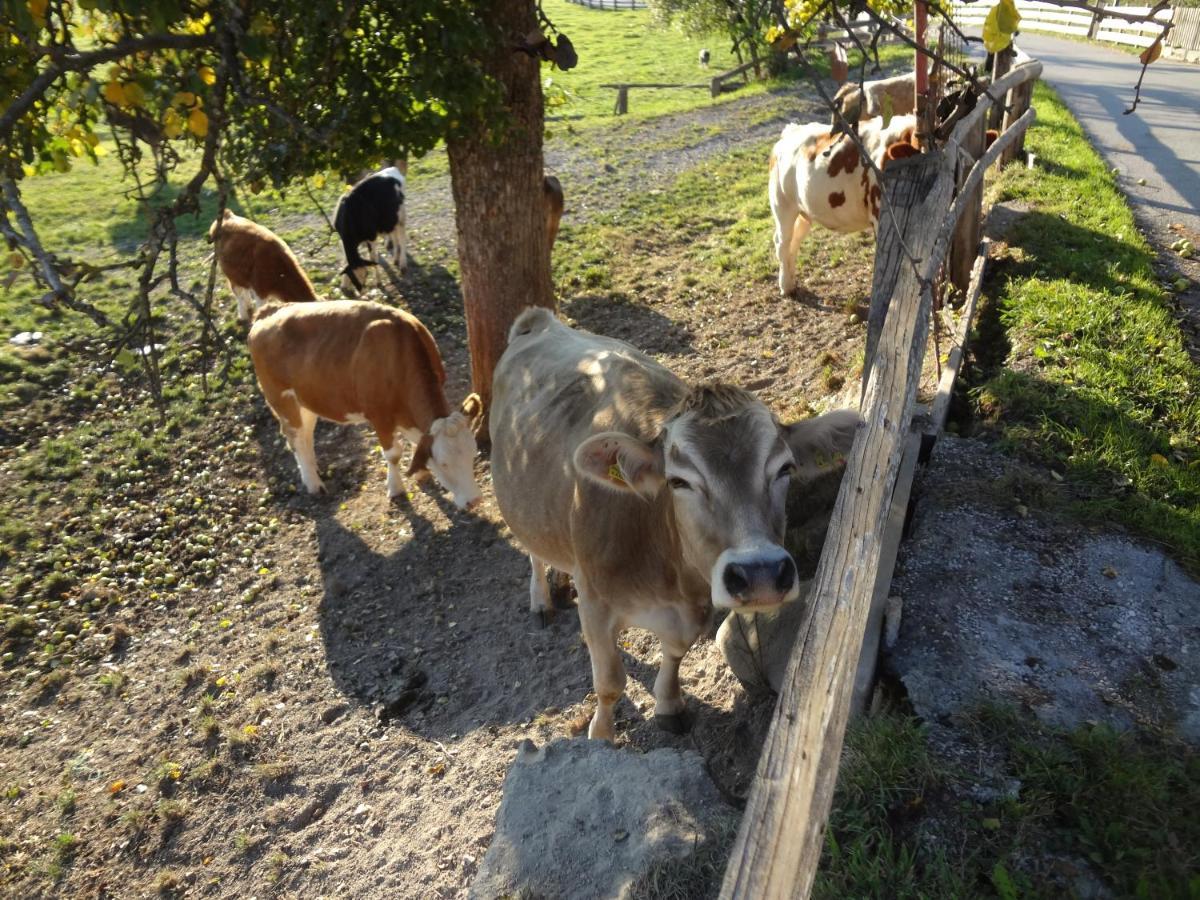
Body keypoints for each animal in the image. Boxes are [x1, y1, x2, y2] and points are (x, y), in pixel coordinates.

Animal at [248, 301, 482, 511]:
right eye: (444, 463)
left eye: (473, 454)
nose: (474, 501)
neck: (398, 354)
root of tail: (269, 310)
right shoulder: (379, 414)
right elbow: (393, 454)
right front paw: (396, 488)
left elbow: (417, 441)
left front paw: (421, 472)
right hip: (280, 397)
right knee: (294, 436)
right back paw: (313, 483)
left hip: (306, 399)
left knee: (305, 435)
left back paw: (313, 468)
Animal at [487, 307, 864, 744]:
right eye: (678, 481)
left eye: (785, 469)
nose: (761, 575)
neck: (665, 572)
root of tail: (541, 320)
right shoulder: (595, 600)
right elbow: (610, 682)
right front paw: (600, 735)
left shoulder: (694, 606)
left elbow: (676, 651)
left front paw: (669, 705)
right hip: (518, 498)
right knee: (532, 550)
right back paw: (542, 599)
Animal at [768, 112, 916, 296]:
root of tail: (790, 132)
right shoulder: (879, 214)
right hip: (782, 204)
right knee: (782, 242)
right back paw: (785, 287)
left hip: (804, 212)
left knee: (794, 242)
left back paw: (791, 282)